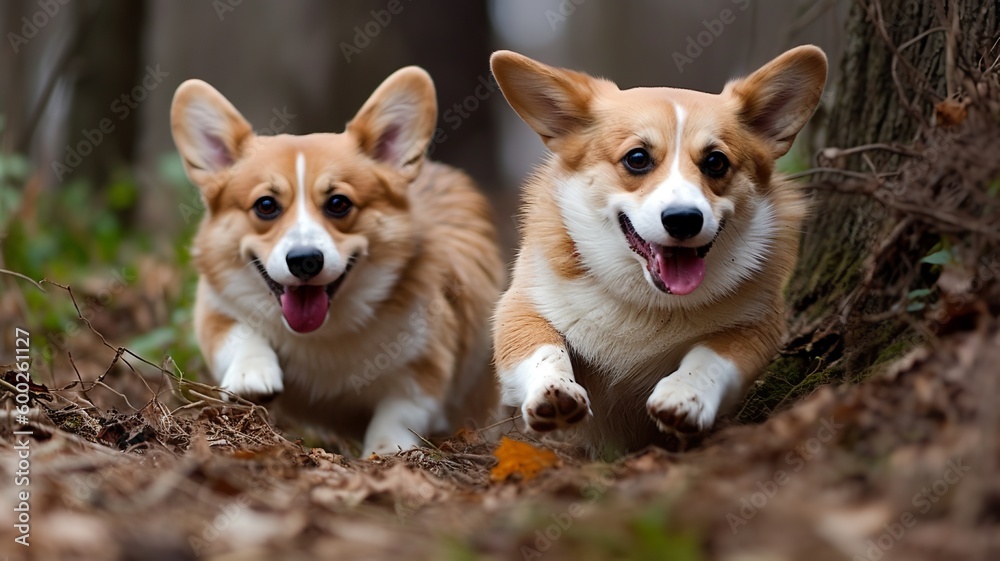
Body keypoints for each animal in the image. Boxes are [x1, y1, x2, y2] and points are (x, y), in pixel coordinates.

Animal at [170, 68, 508, 452]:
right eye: (266, 205)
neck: (324, 333)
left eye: (338, 203)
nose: (304, 261)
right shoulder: (216, 307)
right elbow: (236, 333)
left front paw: (385, 452)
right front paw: (251, 374)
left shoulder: (425, 368)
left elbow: (398, 415)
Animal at [490, 46, 828, 452]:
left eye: (716, 162)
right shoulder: (520, 307)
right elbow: (542, 346)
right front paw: (554, 392)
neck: (649, 303)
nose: (684, 219)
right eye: (637, 158)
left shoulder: (756, 326)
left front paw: (684, 395)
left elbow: (711, 356)